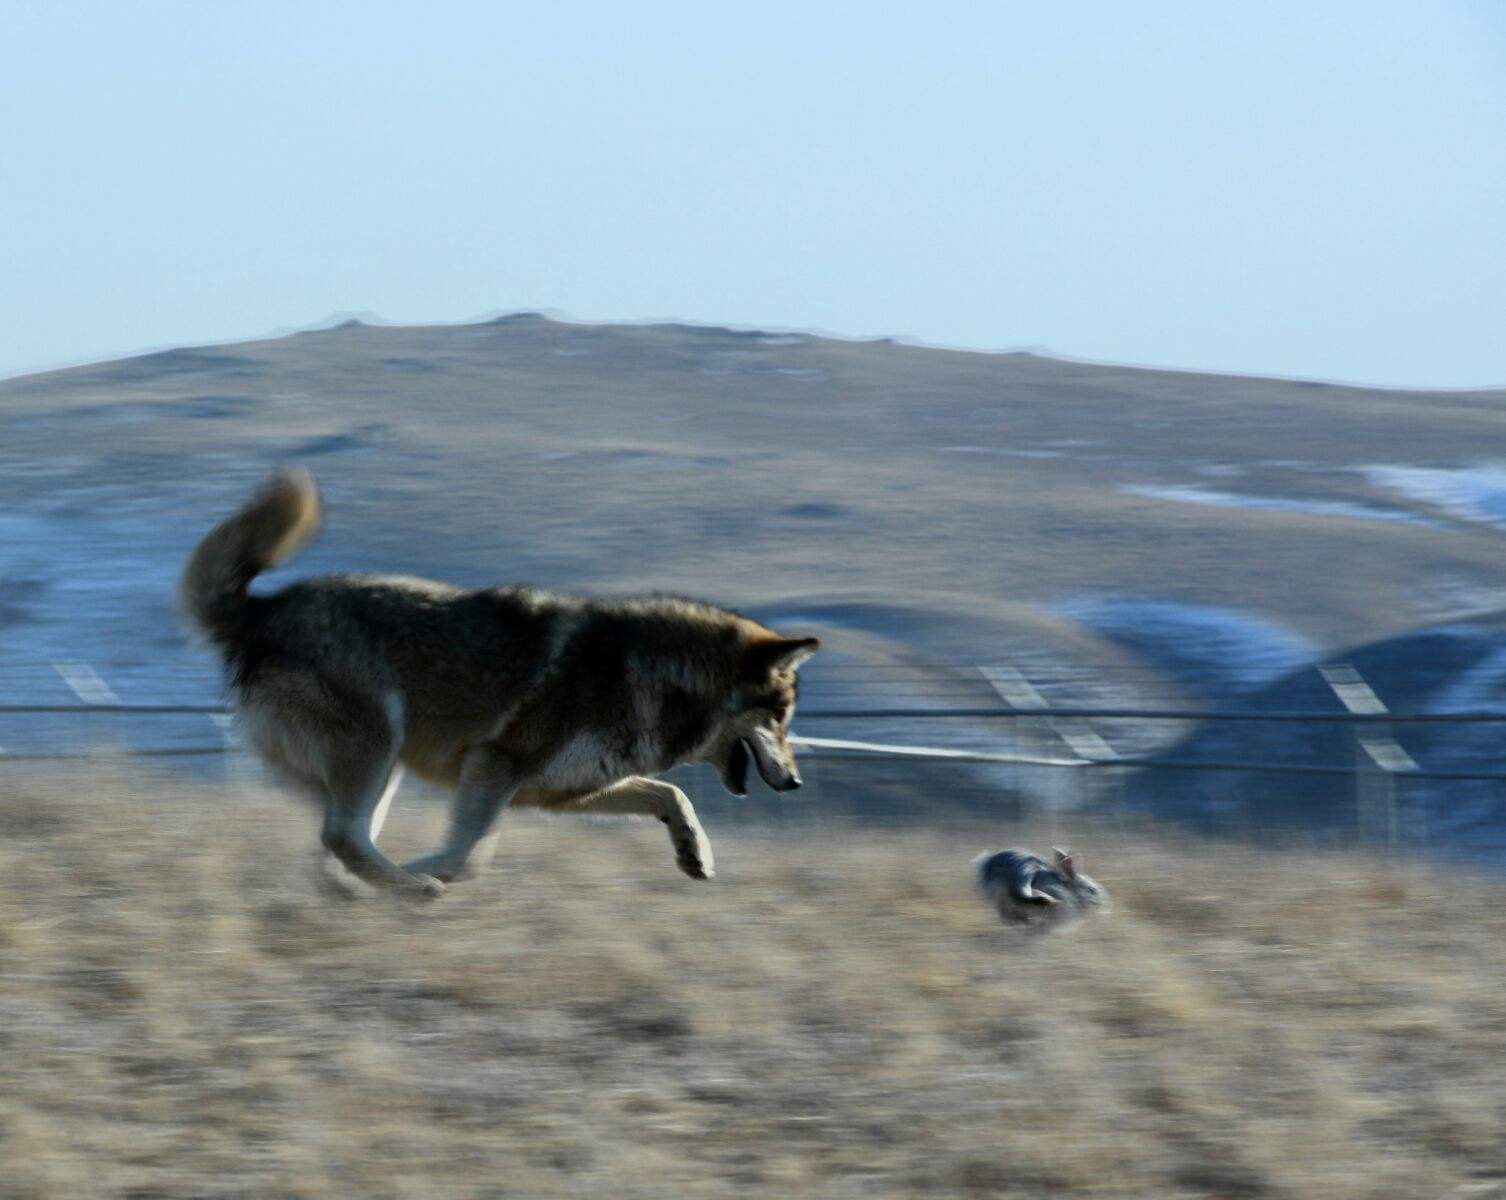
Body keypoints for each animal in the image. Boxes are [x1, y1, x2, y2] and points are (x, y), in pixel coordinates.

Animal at [180, 472, 819, 891]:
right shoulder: (494, 766)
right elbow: (468, 856)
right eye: (781, 718)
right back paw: (405, 890)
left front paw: (695, 854)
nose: (795, 782)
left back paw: (353, 894)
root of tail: (263, 609)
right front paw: (427, 874)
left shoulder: (558, 793)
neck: (647, 676)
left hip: (383, 768)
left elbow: (671, 794)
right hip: (378, 748)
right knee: (340, 838)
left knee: (340, 844)